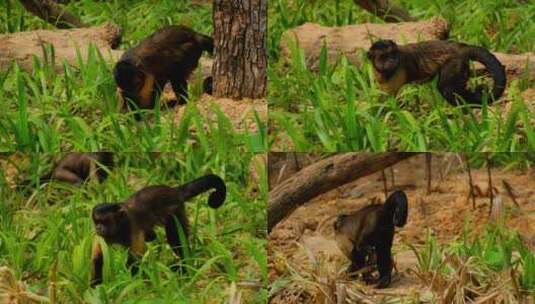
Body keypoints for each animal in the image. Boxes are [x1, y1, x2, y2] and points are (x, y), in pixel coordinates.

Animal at [90, 173, 226, 288]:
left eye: (105, 222)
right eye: (97, 221)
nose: (98, 228)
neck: (118, 229)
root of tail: (173, 190)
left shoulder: (132, 226)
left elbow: (135, 260)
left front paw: (135, 285)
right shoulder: (102, 236)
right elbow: (98, 257)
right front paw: (96, 286)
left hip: (175, 210)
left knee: (176, 241)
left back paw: (184, 265)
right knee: (153, 235)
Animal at [368, 39, 506, 107]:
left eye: (392, 54)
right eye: (384, 57)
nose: (392, 60)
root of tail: (461, 47)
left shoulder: (399, 67)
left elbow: (388, 99)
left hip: (455, 62)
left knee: (446, 88)